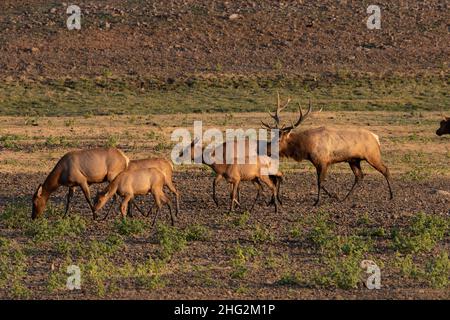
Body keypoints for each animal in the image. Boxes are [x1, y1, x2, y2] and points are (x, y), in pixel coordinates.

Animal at [262, 92, 392, 205]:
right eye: (272, 136)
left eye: (279, 139)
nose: (266, 149)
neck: (306, 146)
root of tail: (376, 138)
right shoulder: (317, 163)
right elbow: (319, 182)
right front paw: (333, 196)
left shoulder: (324, 161)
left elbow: (320, 182)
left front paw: (318, 201)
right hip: (354, 160)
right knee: (359, 176)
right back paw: (345, 198)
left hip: (372, 155)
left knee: (385, 170)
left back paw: (391, 195)